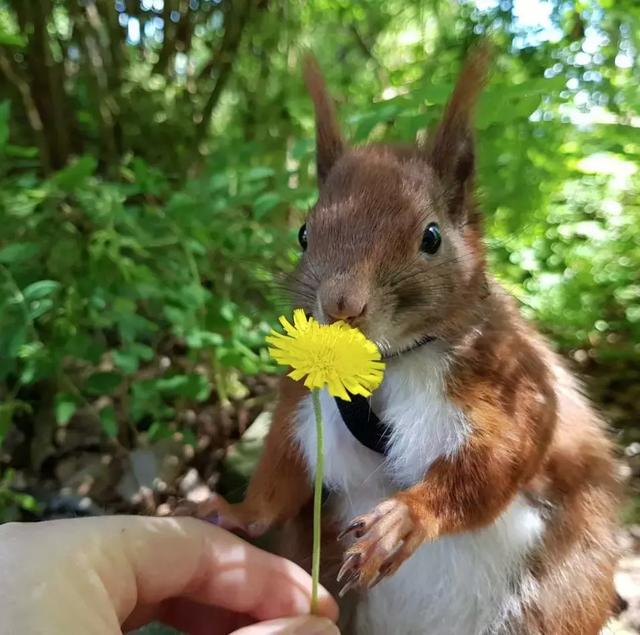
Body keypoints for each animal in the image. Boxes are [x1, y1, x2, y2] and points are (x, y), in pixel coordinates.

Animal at [182, 46, 624, 635]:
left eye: (431, 237)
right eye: (303, 233)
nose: (342, 304)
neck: (386, 366)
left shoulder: (509, 382)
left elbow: (499, 458)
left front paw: (405, 519)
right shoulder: (303, 401)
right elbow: (282, 471)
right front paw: (234, 513)